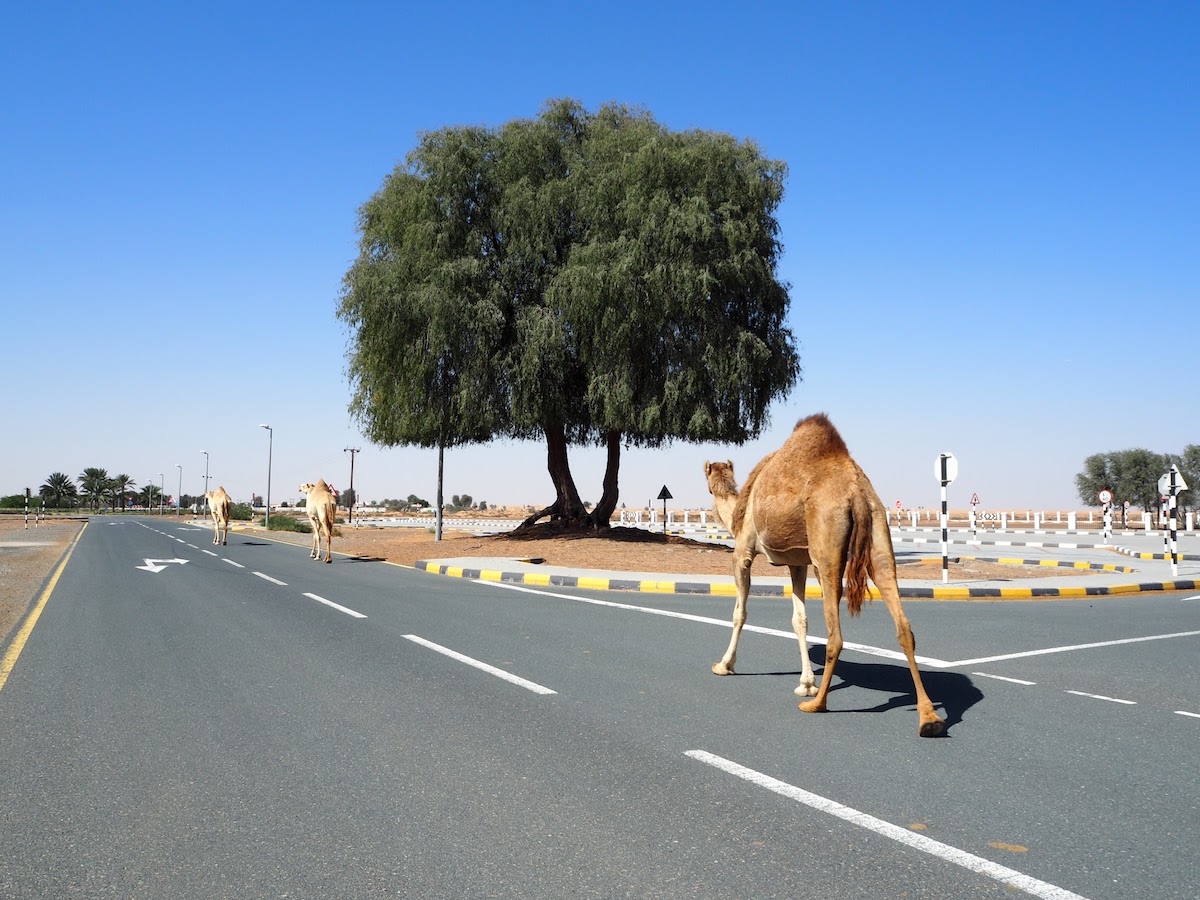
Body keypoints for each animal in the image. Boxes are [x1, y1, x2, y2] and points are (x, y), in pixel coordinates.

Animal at [700, 415, 945, 739]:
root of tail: (856, 492)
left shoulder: (743, 551)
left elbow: (740, 613)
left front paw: (724, 664)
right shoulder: (798, 563)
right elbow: (799, 619)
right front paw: (805, 683)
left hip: (826, 547)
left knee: (836, 635)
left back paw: (817, 704)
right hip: (879, 530)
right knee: (902, 623)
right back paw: (929, 718)